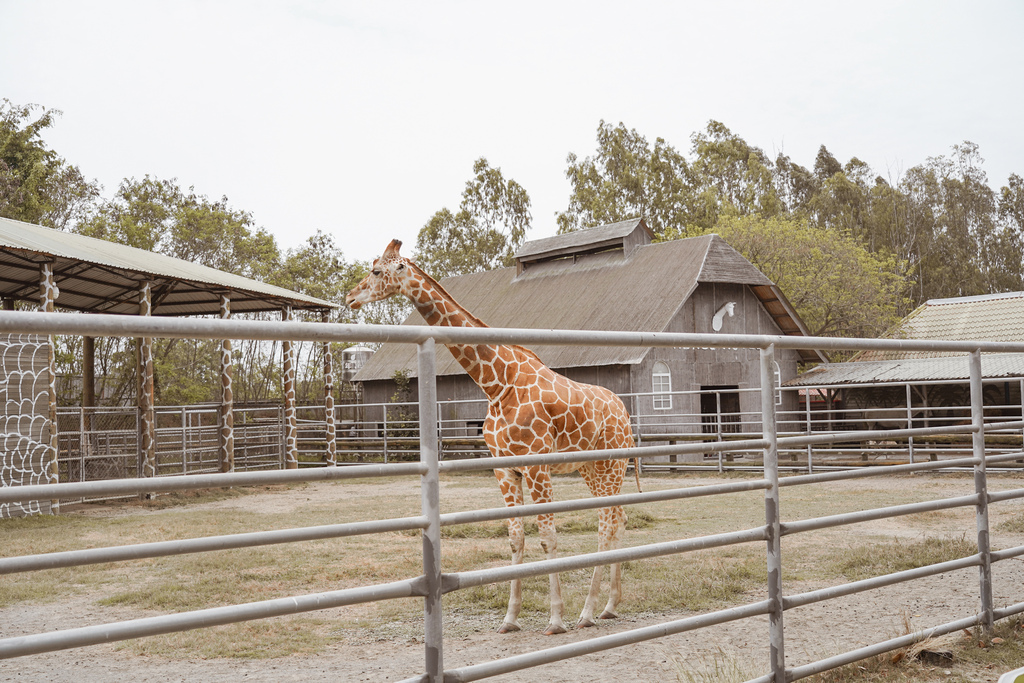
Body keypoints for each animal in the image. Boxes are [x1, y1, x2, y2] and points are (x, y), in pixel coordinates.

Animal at [346, 240, 638, 634]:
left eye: (377, 271)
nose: (350, 297)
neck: (497, 383)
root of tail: (625, 413)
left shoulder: (536, 465)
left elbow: (548, 537)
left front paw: (555, 619)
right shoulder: (504, 468)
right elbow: (516, 538)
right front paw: (510, 618)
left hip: (610, 464)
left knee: (606, 525)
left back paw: (588, 612)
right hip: (592, 470)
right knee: (618, 519)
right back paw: (609, 606)